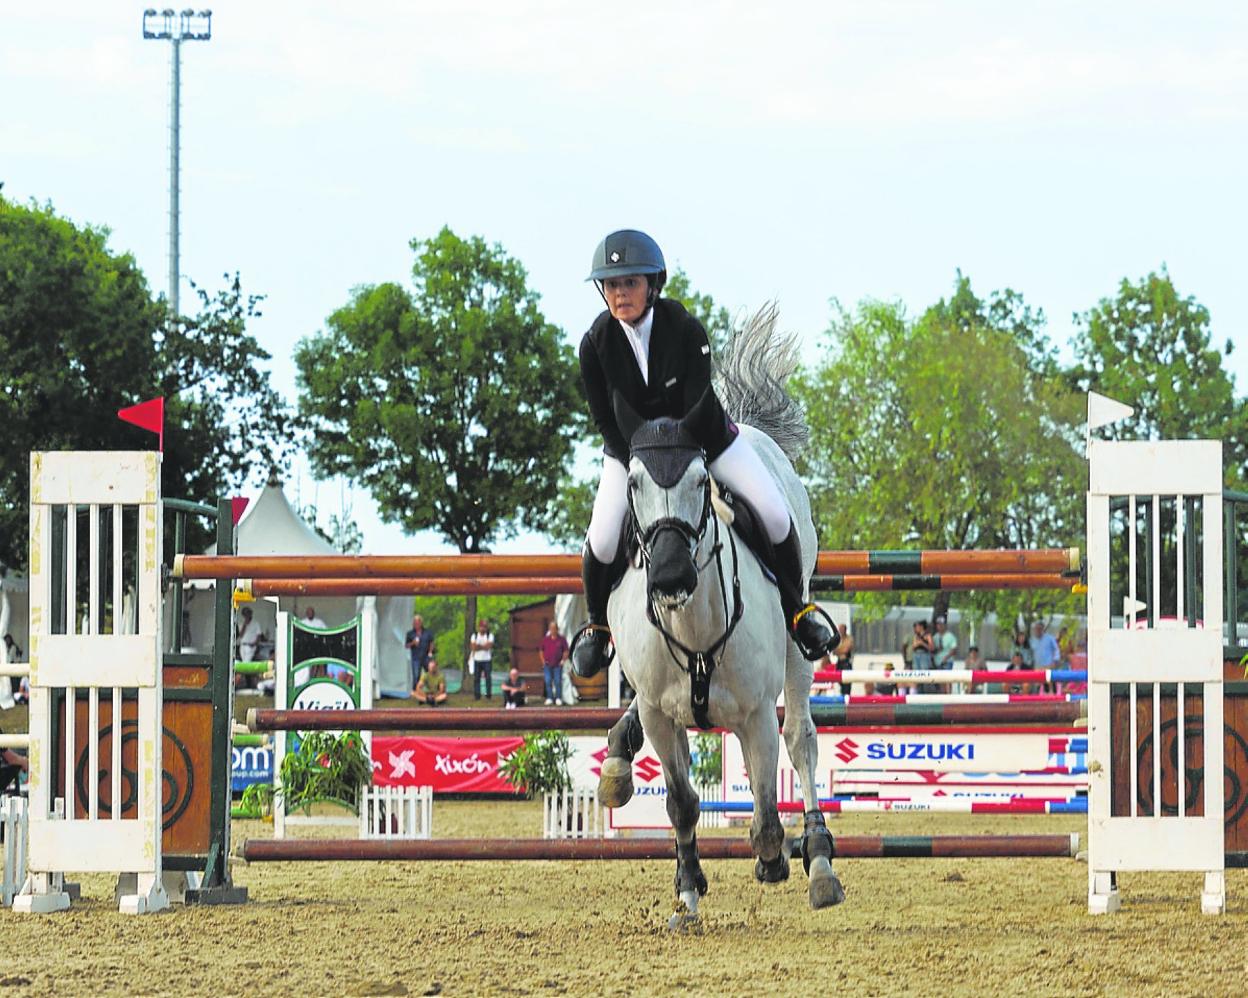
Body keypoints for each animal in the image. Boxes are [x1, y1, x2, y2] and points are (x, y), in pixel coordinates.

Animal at [596, 309, 848, 928]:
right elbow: (683, 803)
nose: (668, 578)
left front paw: (775, 861)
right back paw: (617, 756)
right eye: (633, 481)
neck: (695, 625)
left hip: (796, 651)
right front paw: (688, 893)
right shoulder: (662, 715)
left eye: (699, 479)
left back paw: (819, 863)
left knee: (801, 739)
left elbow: (764, 810)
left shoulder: (755, 715)